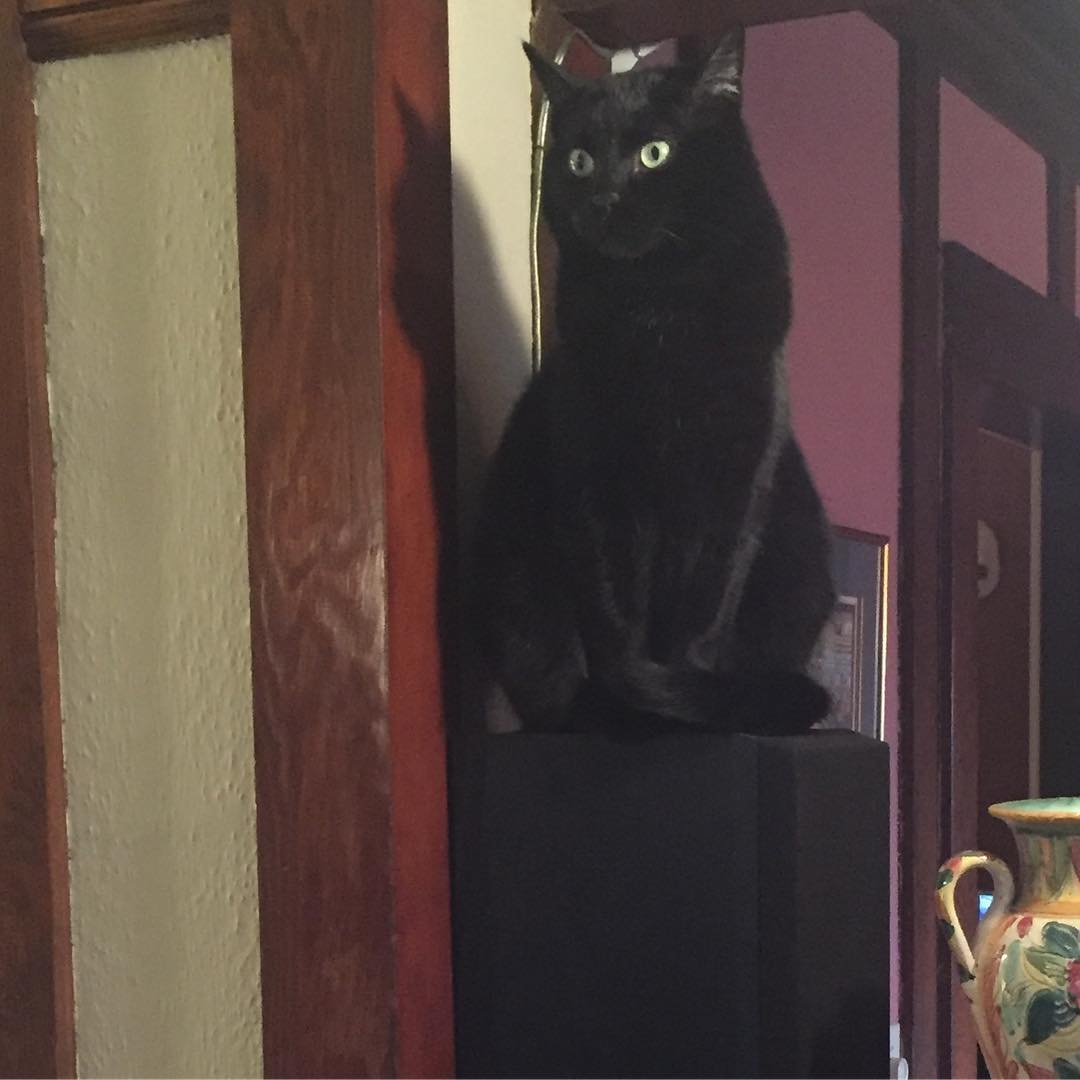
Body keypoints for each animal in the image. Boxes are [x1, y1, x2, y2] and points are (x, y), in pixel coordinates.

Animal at [471, 34, 835, 735]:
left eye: (655, 153)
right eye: (579, 159)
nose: (602, 200)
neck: (659, 311)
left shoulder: (739, 472)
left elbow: (709, 597)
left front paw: (681, 693)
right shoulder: (595, 475)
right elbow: (614, 608)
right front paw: (634, 698)